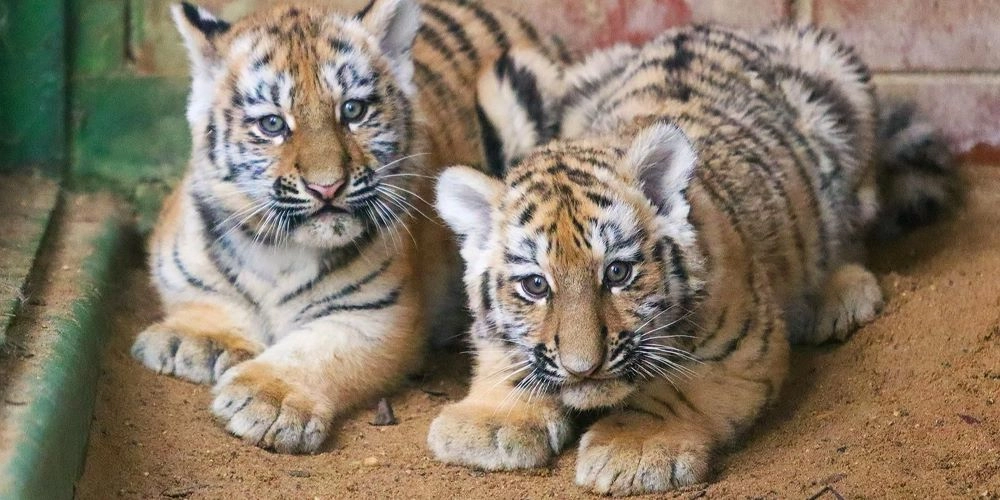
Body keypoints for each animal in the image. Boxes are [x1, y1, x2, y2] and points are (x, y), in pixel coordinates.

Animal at [131, 0, 568, 454]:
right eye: (272, 124)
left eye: (353, 110)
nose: (327, 186)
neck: (278, 251)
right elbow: (204, 294)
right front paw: (197, 340)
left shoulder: (374, 316)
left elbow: (315, 352)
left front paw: (267, 398)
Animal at [428, 24, 959, 494]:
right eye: (535, 285)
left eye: (618, 272)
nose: (584, 369)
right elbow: (507, 359)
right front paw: (487, 425)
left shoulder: (740, 347)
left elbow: (678, 391)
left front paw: (636, 449)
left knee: (854, 226)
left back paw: (837, 295)